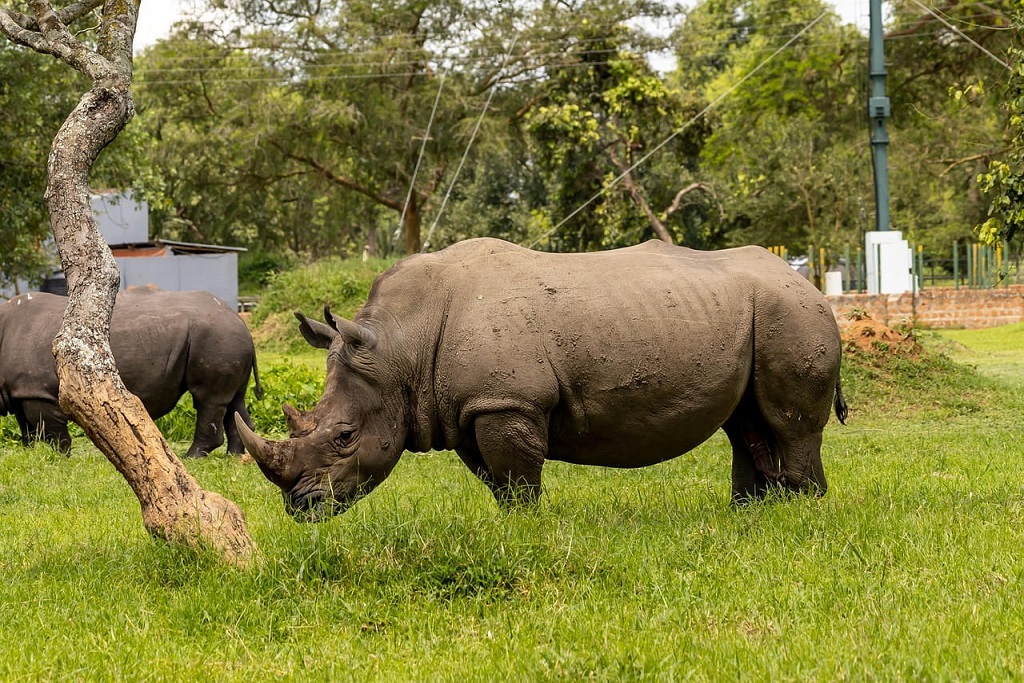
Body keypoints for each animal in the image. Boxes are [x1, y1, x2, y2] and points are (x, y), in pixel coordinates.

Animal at [0, 288, 263, 458]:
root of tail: (240, 319)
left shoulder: (36, 390)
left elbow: (49, 429)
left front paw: (61, 457)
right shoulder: (20, 390)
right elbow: (27, 428)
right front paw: (30, 454)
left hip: (215, 335)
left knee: (208, 399)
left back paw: (193, 457)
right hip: (226, 338)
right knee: (234, 400)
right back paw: (235, 457)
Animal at [236, 238, 847, 520]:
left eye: (344, 437)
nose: (300, 509)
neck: (400, 348)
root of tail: (808, 283)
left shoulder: (508, 401)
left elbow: (517, 477)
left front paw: (527, 529)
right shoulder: (470, 407)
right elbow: (498, 481)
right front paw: (510, 525)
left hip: (790, 312)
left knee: (789, 424)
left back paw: (801, 515)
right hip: (763, 312)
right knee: (746, 423)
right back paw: (750, 515)